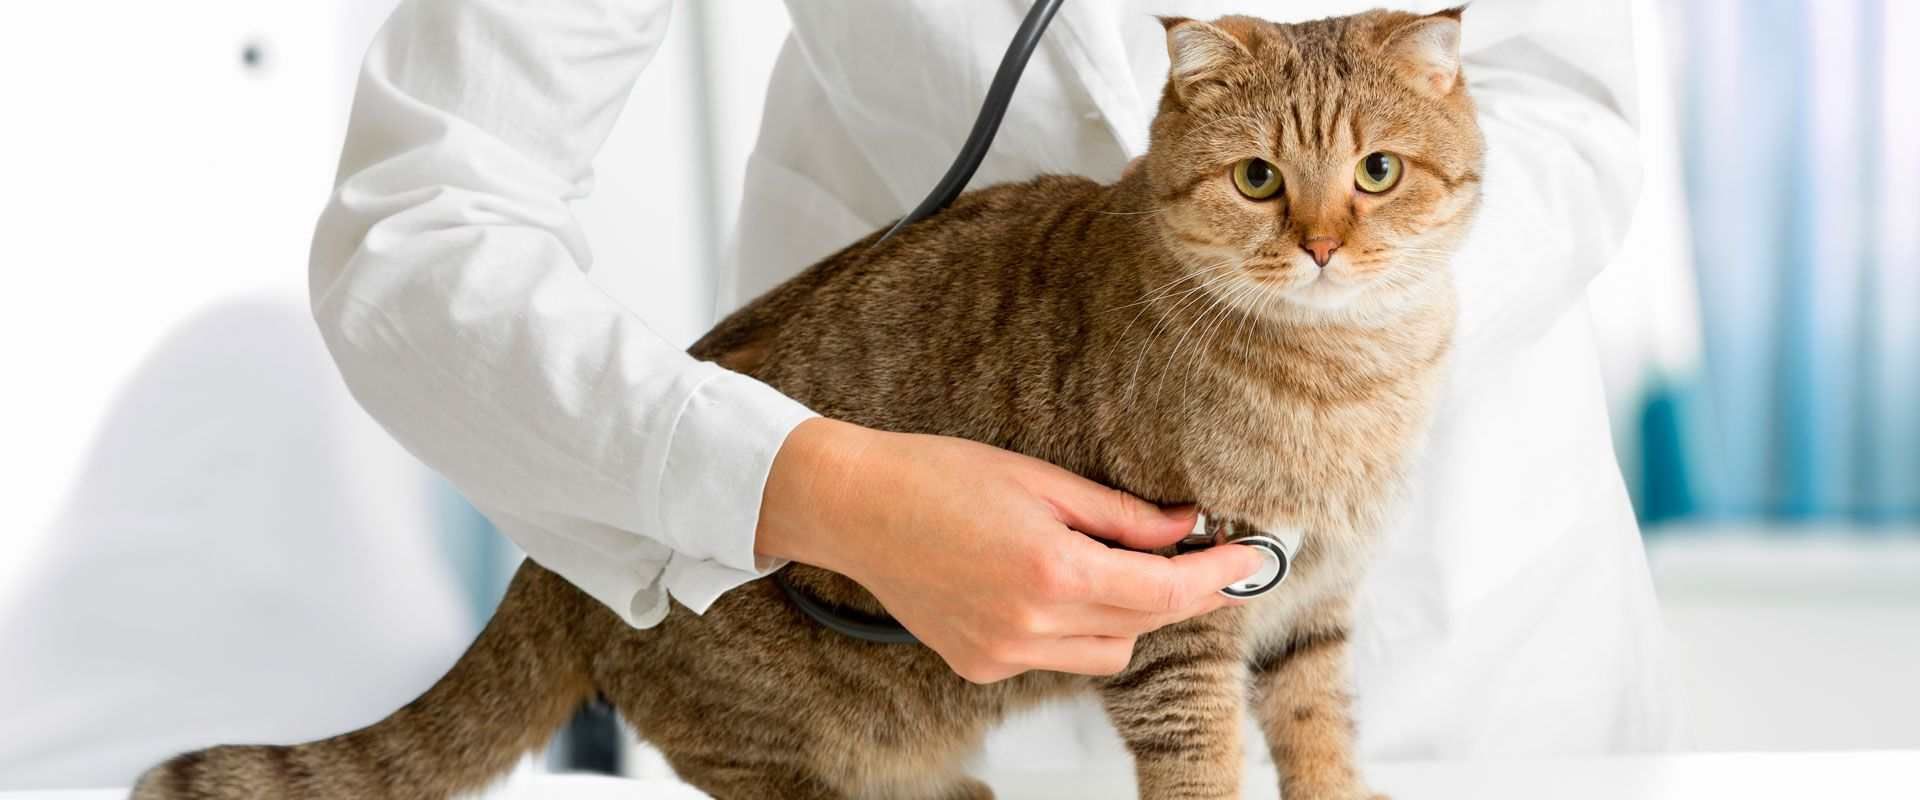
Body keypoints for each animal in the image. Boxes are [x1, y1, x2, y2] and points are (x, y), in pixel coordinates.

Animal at [135, 7, 1482, 798]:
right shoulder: (1178, 628)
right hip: (785, 745)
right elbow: (1202, 765)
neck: (1348, 378)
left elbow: (1321, 743)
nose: (1320, 243)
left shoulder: (1314, 615)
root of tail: (552, 564)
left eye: (1376, 171)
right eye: (1258, 178)